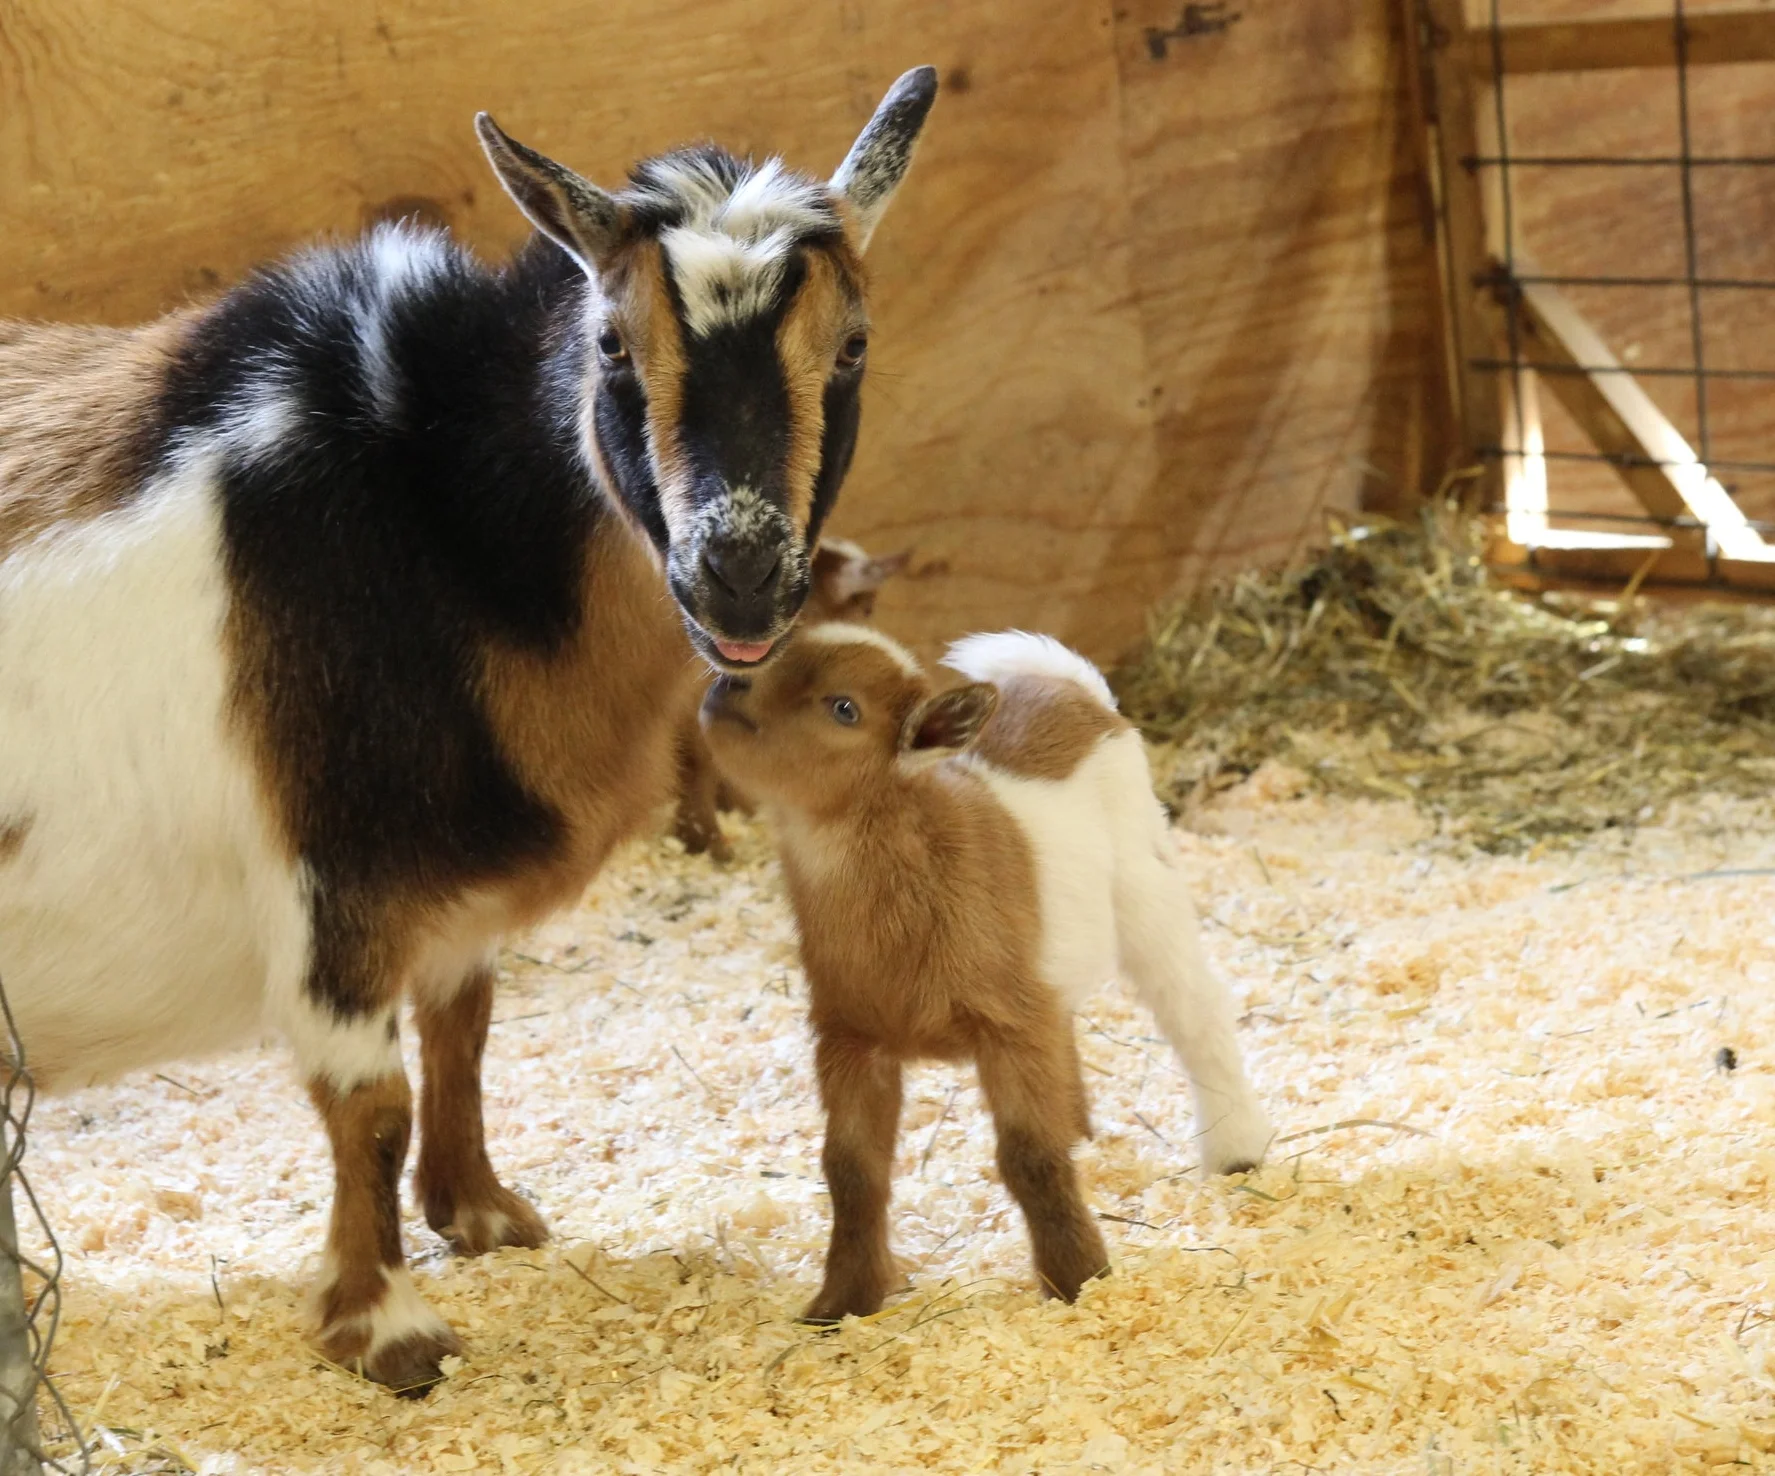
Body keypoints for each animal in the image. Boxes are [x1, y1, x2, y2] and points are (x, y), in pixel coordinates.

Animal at [700, 626, 1273, 1321]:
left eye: (843, 707)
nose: (728, 685)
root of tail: (1067, 687)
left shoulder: (1007, 1024)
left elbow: (1030, 1158)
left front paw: (1079, 1279)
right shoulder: (850, 1035)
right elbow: (851, 1170)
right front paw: (841, 1302)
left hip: (1147, 885)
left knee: (1197, 1014)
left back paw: (1236, 1152)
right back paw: (1082, 1130)